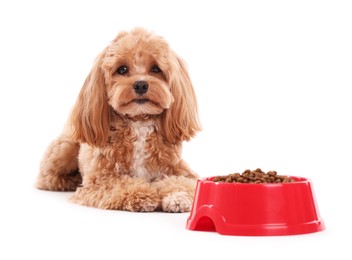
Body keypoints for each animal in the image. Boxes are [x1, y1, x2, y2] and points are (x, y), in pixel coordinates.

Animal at [36, 27, 201, 212]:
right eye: (122, 69)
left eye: (155, 69)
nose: (141, 85)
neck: (139, 121)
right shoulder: (99, 179)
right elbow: (121, 184)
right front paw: (143, 194)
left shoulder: (182, 170)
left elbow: (184, 182)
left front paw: (178, 196)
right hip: (65, 149)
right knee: (47, 177)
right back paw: (69, 181)